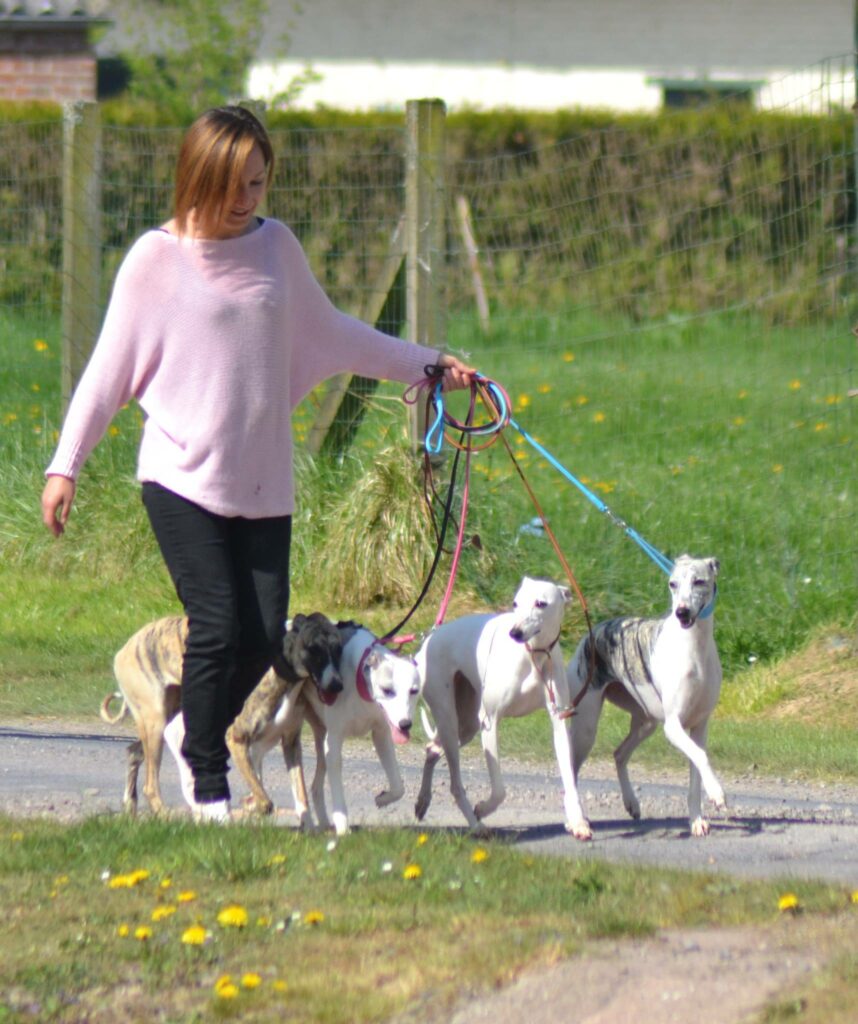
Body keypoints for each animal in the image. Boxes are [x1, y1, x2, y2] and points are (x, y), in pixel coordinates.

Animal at [415, 581, 589, 835]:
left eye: (541, 603)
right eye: (515, 602)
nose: (515, 633)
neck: (533, 655)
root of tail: (429, 638)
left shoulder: (559, 721)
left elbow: (569, 778)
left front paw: (578, 822)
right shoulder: (490, 721)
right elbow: (499, 790)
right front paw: (482, 808)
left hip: (466, 725)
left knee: (432, 749)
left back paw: (422, 802)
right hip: (449, 717)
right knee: (455, 783)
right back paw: (476, 824)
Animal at [569, 557, 728, 835]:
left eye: (699, 581)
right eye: (672, 584)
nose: (682, 612)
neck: (694, 647)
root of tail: (592, 631)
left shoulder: (699, 726)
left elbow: (696, 770)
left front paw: (697, 820)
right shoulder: (673, 726)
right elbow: (700, 756)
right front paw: (717, 793)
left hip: (647, 722)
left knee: (619, 754)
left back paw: (631, 802)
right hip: (587, 727)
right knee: (572, 767)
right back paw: (576, 821)